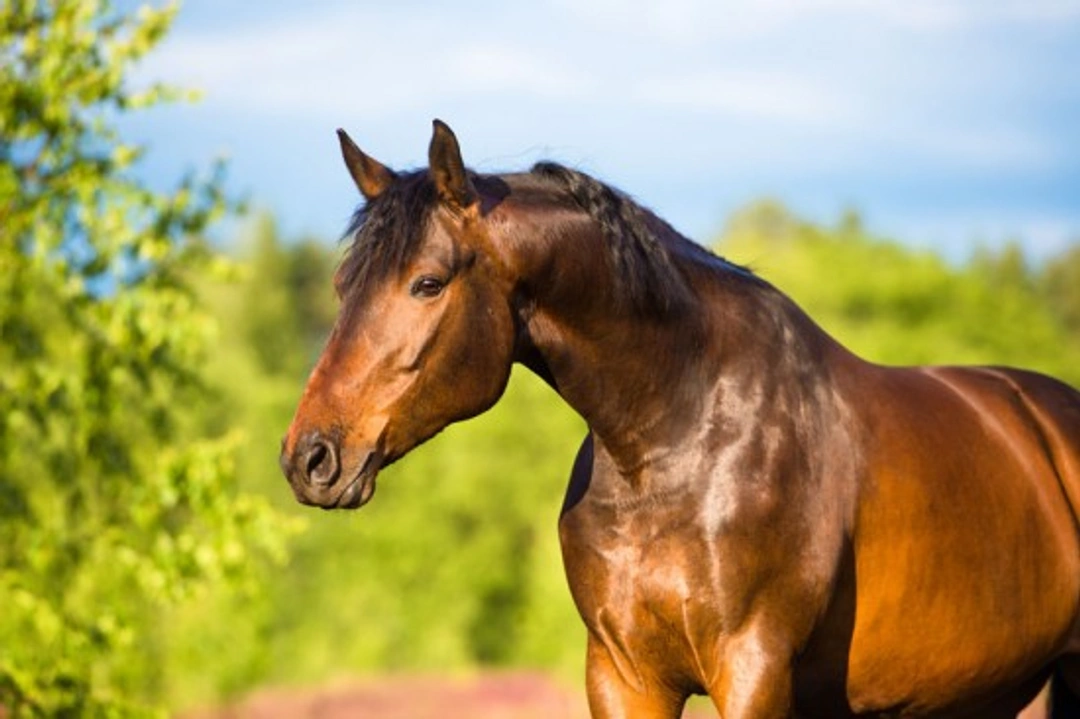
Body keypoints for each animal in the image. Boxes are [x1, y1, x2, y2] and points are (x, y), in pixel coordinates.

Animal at [279, 119, 1080, 718]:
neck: (676, 443)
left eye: (427, 282)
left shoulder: (752, 670)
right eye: (342, 283)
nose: (309, 457)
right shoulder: (623, 674)